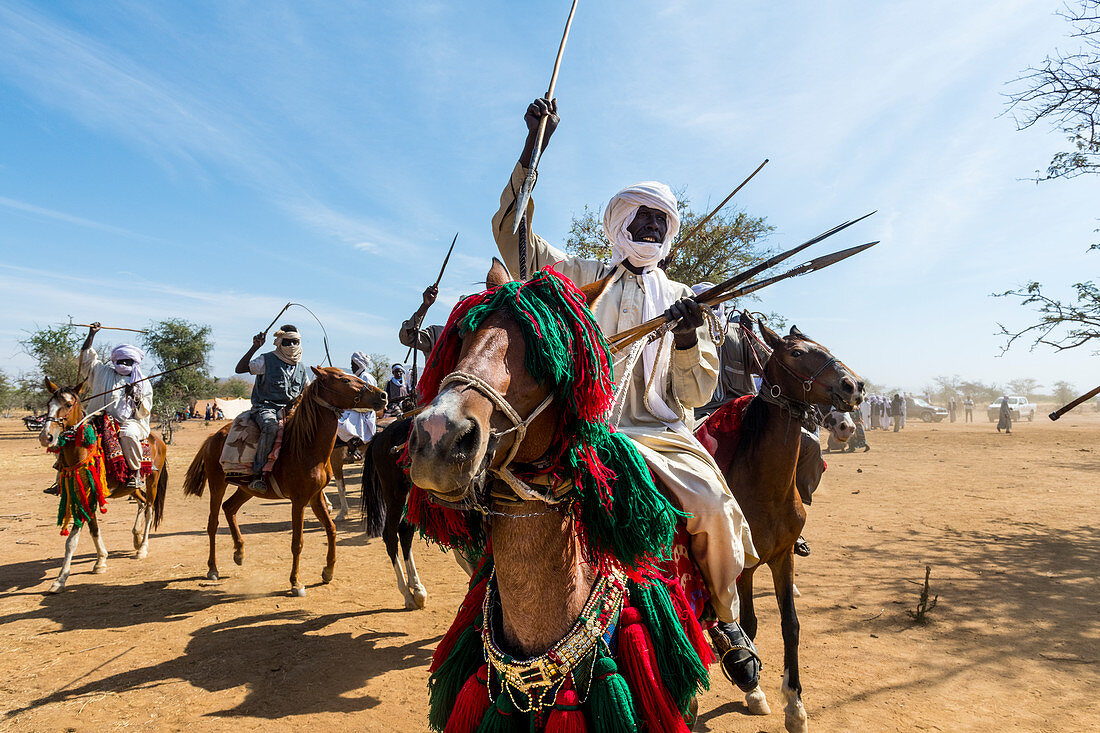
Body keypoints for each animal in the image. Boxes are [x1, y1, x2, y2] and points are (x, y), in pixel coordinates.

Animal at [38, 378, 169, 589]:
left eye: (68, 404)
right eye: (49, 404)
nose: (46, 436)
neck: (82, 452)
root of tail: (157, 439)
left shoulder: (89, 495)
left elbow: (72, 539)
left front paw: (60, 579)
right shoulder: (82, 494)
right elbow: (93, 529)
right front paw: (100, 561)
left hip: (152, 482)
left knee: (149, 509)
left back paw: (142, 547)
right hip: (129, 488)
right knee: (141, 503)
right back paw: (136, 537)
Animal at [182, 365, 385, 594]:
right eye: (344, 380)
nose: (382, 395)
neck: (306, 446)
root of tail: (212, 438)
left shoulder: (315, 497)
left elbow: (331, 529)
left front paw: (328, 571)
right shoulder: (298, 501)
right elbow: (297, 542)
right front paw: (296, 582)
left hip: (247, 488)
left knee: (229, 508)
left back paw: (239, 553)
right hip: (217, 483)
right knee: (213, 523)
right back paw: (213, 569)